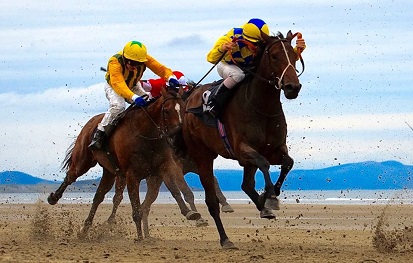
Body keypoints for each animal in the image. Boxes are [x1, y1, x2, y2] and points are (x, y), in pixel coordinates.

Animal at [47, 87, 204, 240]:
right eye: (166, 110)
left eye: (183, 109)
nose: (179, 135)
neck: (145, 134)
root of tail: (92, 121)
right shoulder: (132, 175)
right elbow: (136, 207)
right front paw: (140, 237)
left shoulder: (165, 167)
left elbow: (178, 190)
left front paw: (191, 213)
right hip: (83, 161)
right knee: (71, 176)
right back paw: (53, 198)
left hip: (110, 172)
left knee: (98, 197)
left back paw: (85, 229)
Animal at [175, 31, 304, 250]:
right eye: (274, 56)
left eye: (295, 56)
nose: (292, 87)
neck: (262, 107)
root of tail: (189, 97)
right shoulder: (243, 149)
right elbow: (264, 163)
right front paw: (270, 196)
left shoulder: (275, 148)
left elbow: (288, 162)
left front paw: (272, 196)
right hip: (202, 156)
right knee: (212, 202)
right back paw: (225, 239)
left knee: (246, 185)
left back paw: (263, 208)